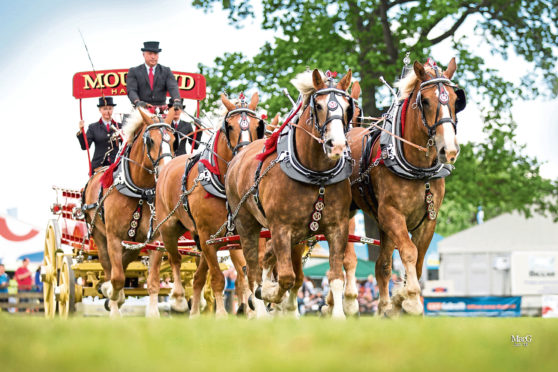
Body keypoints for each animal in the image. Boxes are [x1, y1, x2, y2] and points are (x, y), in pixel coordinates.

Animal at [149, 91, 266, 316]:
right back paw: (178, 299)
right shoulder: (207, 236)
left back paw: (195, 313)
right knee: (174, 259)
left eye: (258, 126)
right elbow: (218, 279)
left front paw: (259, 310)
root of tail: (167, 166)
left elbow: (253, 273)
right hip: (169, 228)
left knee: (197, 278)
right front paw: (221, 315)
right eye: (230, 126)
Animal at [225, 70, 356, 320]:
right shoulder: (280, 228)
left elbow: (335, 276)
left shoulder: (338, 227)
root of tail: (237, 159)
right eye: (318, 105)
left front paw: (338, 315)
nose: (336, 145)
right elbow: (285, 277)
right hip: (247, 225)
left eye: (348, 106)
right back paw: (261, 309)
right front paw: (269, 293)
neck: (316, 176)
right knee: (253, 270)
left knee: (268, 259)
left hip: (297, 234)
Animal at [352, 58, 466, 316]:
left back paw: (383, 308)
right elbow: (409, 252)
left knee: (382, 265)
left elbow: (420, 259)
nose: (449, 150)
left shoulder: (428, 219)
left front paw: (399, 301)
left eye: (457, 100)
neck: (419, 171)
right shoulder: (391, 214)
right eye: (425, 101)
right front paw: (411, 299)